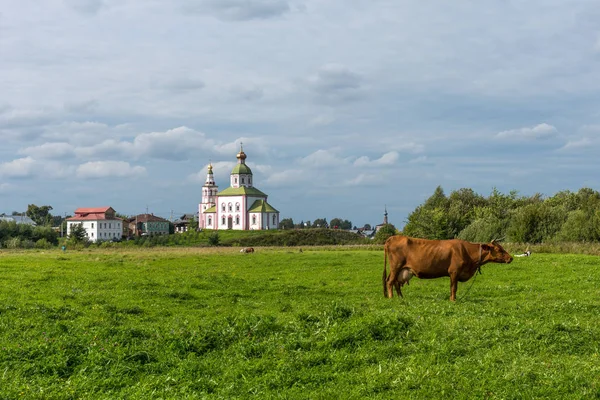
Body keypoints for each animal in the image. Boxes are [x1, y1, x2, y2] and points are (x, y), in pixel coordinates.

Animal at [382, 234, 512, 300]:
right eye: (499, 249)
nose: (511, 258)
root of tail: (394, 237)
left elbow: (451, 287)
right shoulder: (454, 272)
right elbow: (454, 288)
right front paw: (453, 300)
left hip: (401, 269)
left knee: (396, 282)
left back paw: (401, 298)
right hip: (396, 266)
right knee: (390, 281)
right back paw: (392, 298)